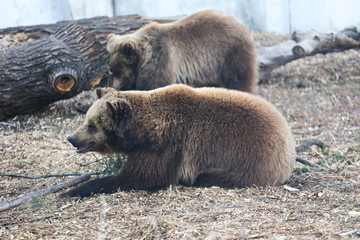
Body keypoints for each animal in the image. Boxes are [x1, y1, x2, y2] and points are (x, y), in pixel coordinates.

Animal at [59, 85, 296, 198]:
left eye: (92, 125)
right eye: (86, 119)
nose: (72, 138)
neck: (144, 129)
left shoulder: (167, 145)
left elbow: (140, 177)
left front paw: (70, 191)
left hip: (250, 160)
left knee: (210, 176)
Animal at [105, 9, 258, 92]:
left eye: (116, 71)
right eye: (111, 71)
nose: (116, 87)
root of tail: (241, 24)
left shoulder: (160, 62)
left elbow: (155, 86)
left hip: (230, 54)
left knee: (238, 79)